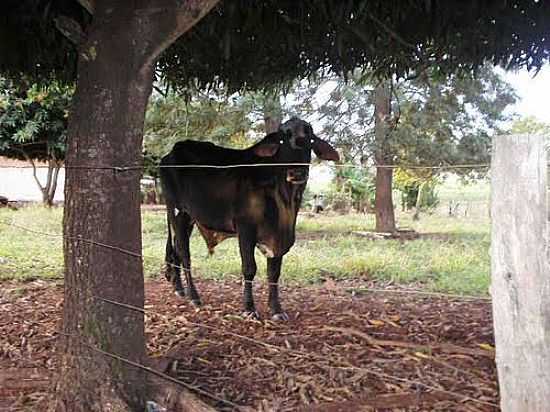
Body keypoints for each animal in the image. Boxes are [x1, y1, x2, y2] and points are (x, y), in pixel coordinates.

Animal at [161, 117, 340, 320]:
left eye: (309, 139)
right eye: (281, 139)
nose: (297, 173)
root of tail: (169, 154)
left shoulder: (277, 237)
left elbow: (274, 273)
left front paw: (276, 309)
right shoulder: (245, 229)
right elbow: (249, 268)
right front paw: (249, 308)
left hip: (188, 218)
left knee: (175, 249)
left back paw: (179, 289)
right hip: (178, 212)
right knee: (184, 254)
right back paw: (194, 296)